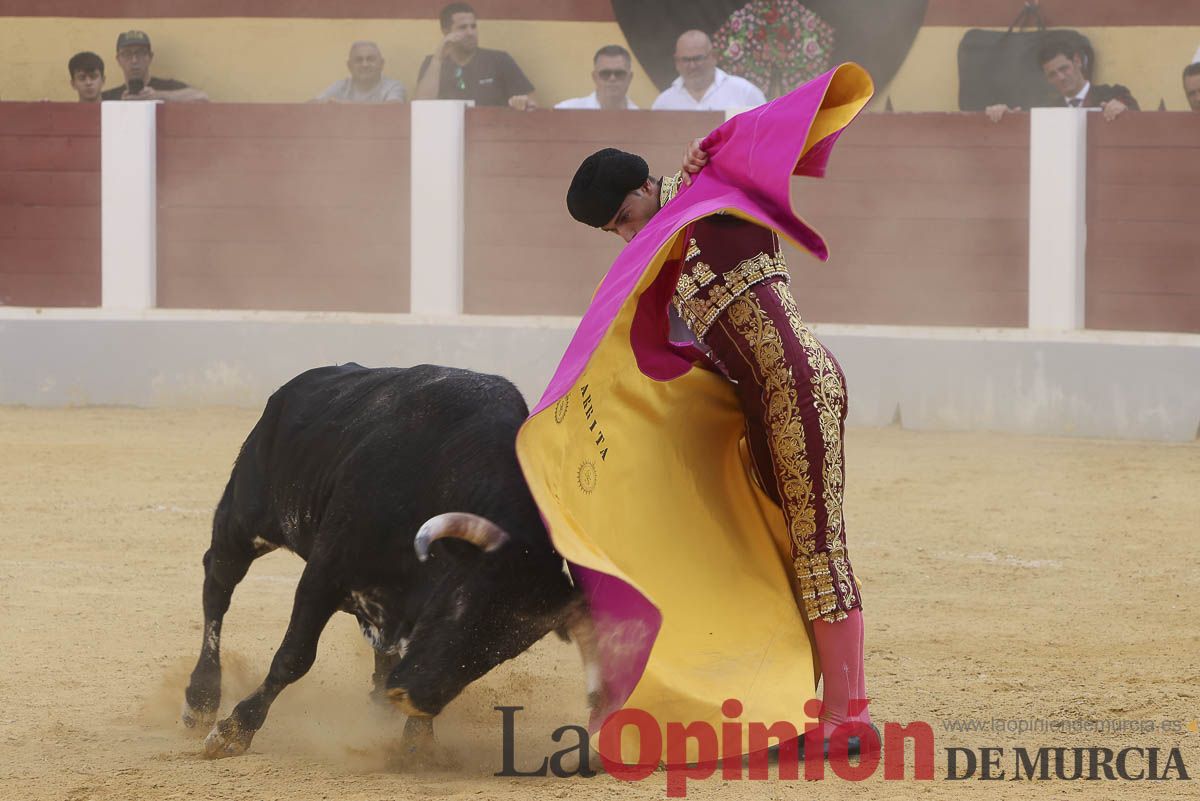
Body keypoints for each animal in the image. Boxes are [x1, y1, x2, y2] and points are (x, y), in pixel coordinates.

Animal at [182, 362, 600, 757]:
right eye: (460, 608)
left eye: (506, 650)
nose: (416, 699)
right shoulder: (324, 573)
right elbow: (294, 658)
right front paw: (234, 730)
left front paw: (417, 741)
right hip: (243, 519)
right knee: (217, 584)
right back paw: (201, 699)